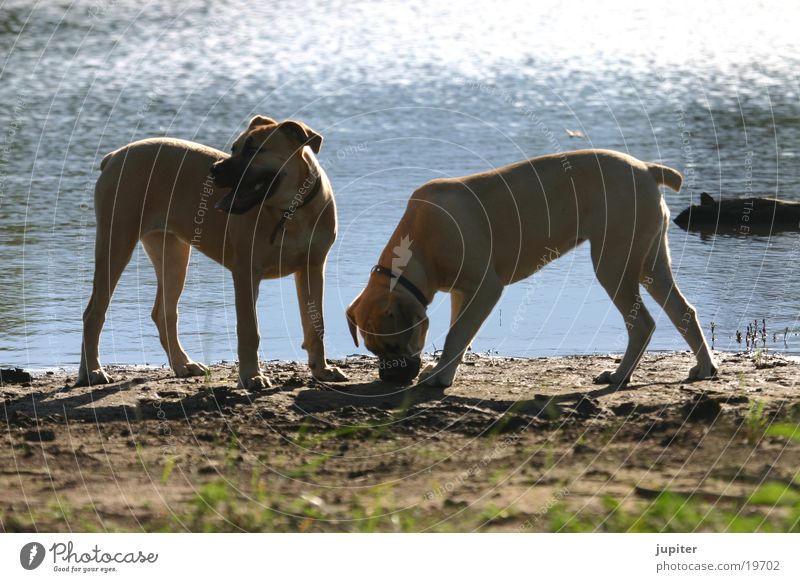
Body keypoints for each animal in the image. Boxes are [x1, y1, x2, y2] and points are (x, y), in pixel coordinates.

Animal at [77, 116, 346, 390]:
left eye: (253, 149)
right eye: (234, 148)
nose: (214, 170)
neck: (291, 211)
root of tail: (114, 156)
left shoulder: (313, 268)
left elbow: (316, 324)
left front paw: (322, 370)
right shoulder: (246, 273)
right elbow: (249, 329)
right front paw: (252, 375)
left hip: (172, 254)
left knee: (164, 312)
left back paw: (183, 364)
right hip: (116, 243)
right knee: (93, 313)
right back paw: (92, 372)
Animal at [346, 149, 720, 388]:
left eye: (394, 347)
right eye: (373, 350)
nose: (387, 377)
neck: (419, 247)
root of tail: (645, 168)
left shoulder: (485, 289)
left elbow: (456, 335)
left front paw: (441, 378)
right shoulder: (461, 294)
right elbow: (461, 332)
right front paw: (442, 370)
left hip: (613, 264)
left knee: (642, 324)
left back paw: (619, 376)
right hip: (650, 262)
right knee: (682, 311)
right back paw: (705, 367)